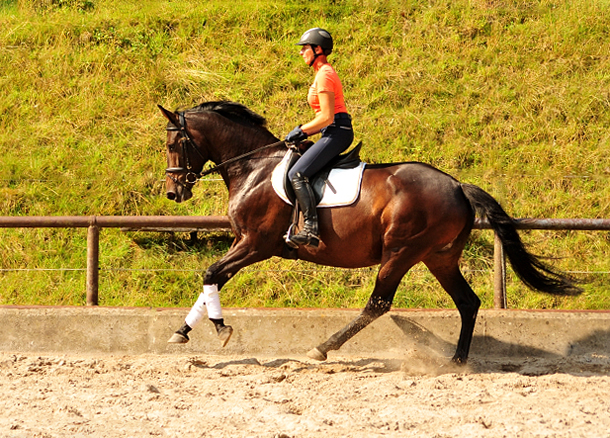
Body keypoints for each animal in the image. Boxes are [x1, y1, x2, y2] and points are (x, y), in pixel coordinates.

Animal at [158, 101, 580, 364]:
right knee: (467, 302)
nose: (174, 192)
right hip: (439, 257)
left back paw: (322, 348)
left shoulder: (255, 244)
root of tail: (458, 186)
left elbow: (211, 273)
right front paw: (182, 331)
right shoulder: (241, 242)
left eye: (174, 142)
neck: (255, 167)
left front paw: (220, 328)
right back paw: (458, 360)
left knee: (378, 303)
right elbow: (211, 281)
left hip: (401, 252)